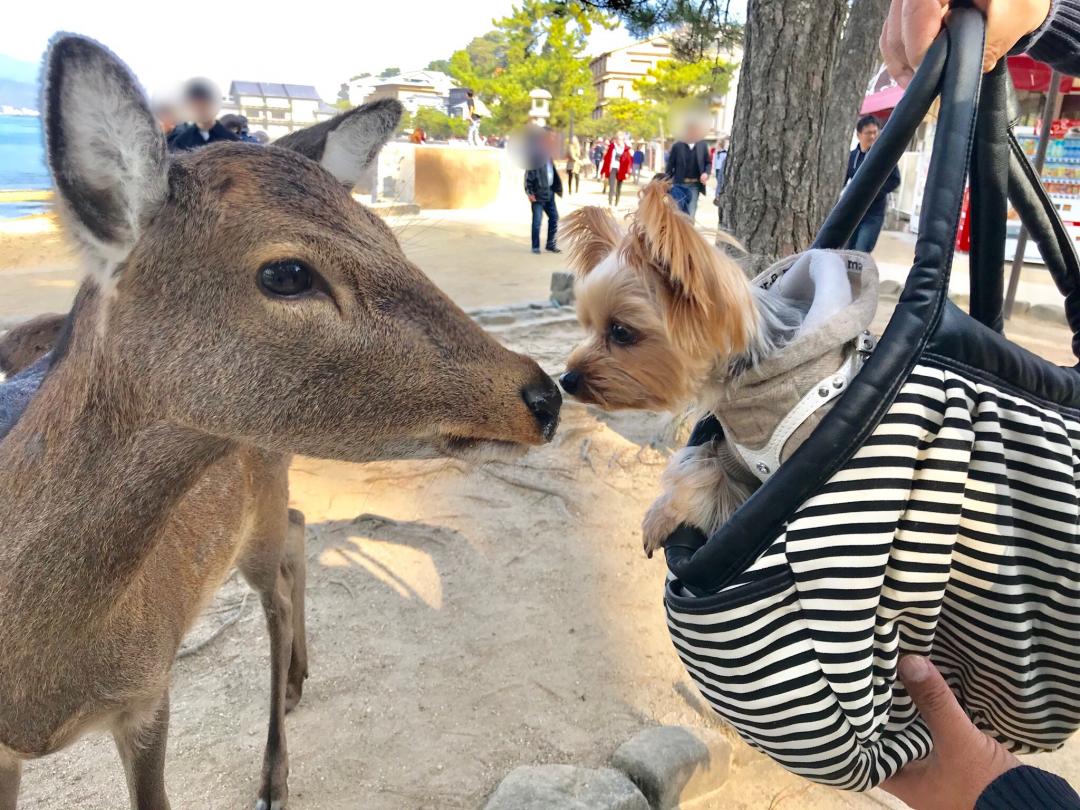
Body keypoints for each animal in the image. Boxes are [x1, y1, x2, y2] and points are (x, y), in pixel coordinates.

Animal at [0, 33, 561, 810]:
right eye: (288, 273)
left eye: (385, 232)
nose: (544, 397)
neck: (34, 687)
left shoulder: (151, 688)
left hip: (260, 501)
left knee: (283, 564)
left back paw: (277, 759)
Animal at [561, 182, 872, 557]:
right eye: (587, 326)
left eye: (620, 331)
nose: (565, 380)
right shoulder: (734, 456)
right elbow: (702, 470)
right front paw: (660, 518)